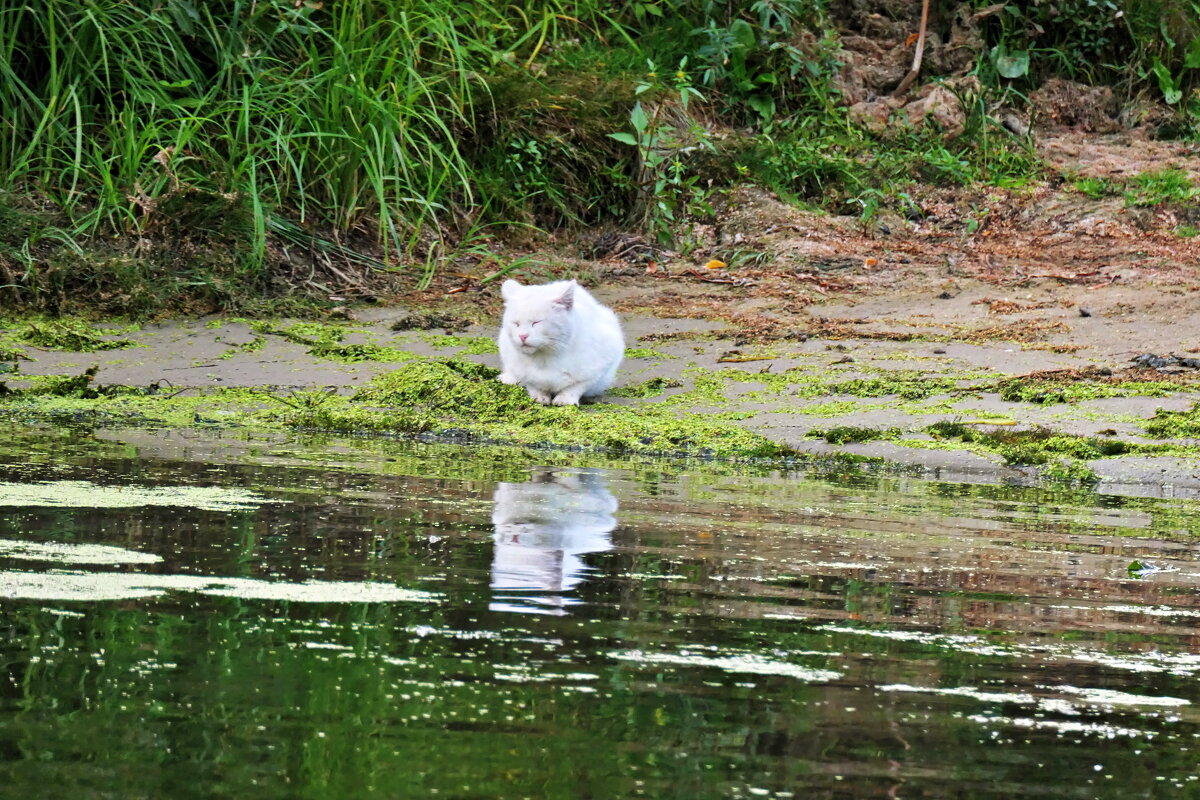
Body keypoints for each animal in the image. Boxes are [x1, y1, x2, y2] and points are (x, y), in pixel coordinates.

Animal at [496, 280, 628, 407]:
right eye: (516, 323)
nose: (522, 336)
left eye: (536, 322)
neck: (544, 358)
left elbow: (575, 387)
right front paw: (539, 397)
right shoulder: (519, 368)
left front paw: (565, 399)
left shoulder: (602, 363)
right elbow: (532, 384)